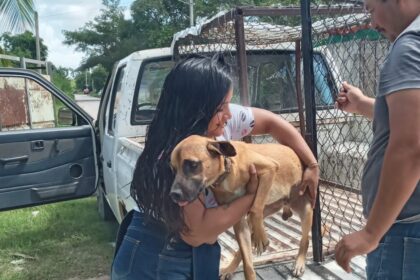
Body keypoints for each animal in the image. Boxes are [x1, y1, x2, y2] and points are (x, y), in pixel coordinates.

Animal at [170, 135, 312, 278]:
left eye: (193, 165)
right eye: (173, 170)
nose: (173, 195)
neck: (229, 172)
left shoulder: (269, 168)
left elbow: (255, 209)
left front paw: (260, 236)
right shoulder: (237, 219)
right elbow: (247, 264)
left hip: (306, 210)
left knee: (305, 240)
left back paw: (299, 262)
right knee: (242, 251)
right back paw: (229, 268)